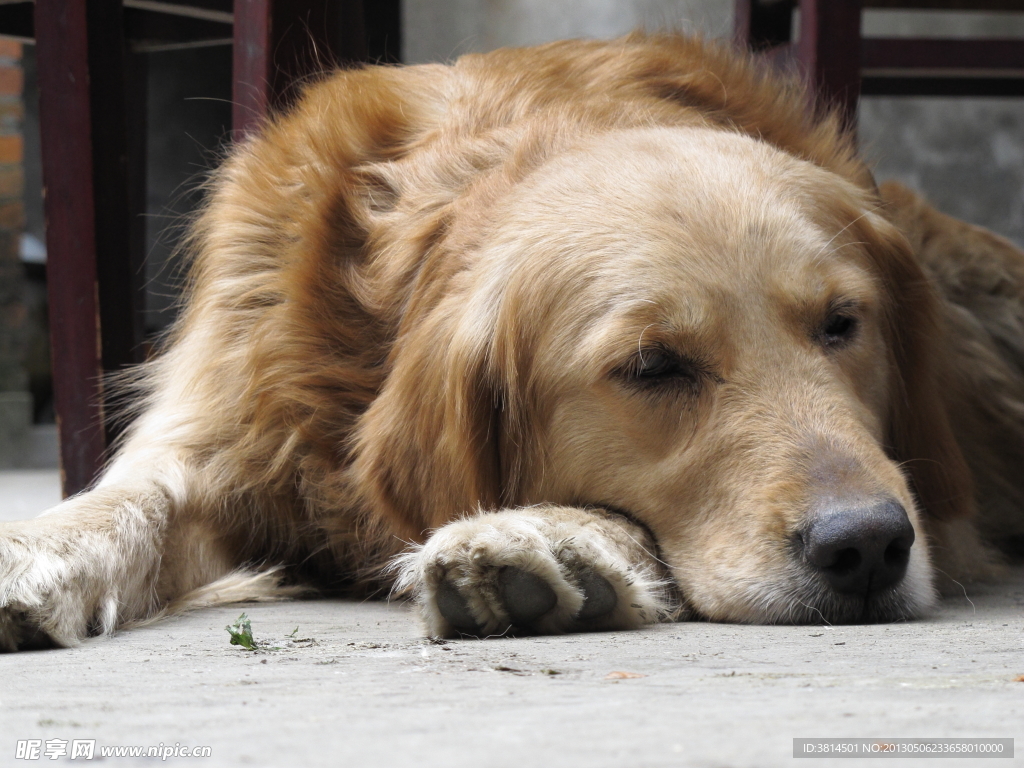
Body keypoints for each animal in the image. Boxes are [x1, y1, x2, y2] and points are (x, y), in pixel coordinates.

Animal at [2, 33, 1024, 651]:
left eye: (842, 324)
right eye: (652, 367)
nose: (870, 547)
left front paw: (553, 540)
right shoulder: (226, 409)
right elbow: (129, 498)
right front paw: (33, 553)